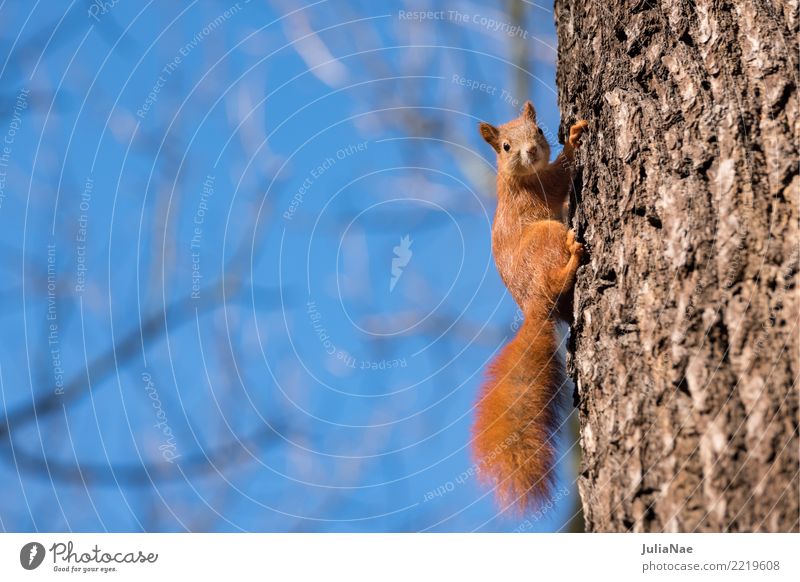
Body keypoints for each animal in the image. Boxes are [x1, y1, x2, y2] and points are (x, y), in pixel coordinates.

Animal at [468, 102, 588, 512]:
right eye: (505, 146)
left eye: (537, 130)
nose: (531, 151)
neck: (516, 176)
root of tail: (535, 306)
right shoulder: (537, 188)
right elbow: (561, 175)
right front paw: (574, 138)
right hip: (546, 237)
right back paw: (574, 257)